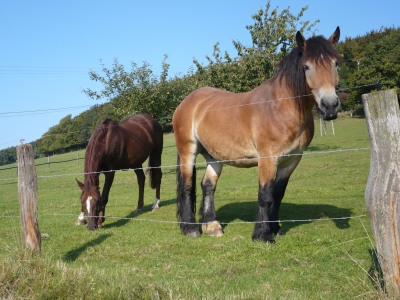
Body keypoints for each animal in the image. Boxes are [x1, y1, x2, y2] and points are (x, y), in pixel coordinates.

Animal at [172, 27, 340, 244]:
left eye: (336, 63)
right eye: (307, 67)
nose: (330, 106)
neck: (281, 107)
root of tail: (186, 102)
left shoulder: (291, 160)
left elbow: (278, 194)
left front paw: (275, 228)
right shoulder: (268, 158)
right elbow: (265, 195)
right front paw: (262, 234)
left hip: (214, 156)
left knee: (208, 185)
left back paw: (211, 225)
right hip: (187, 151)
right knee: (187, 186)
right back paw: (191, 228)